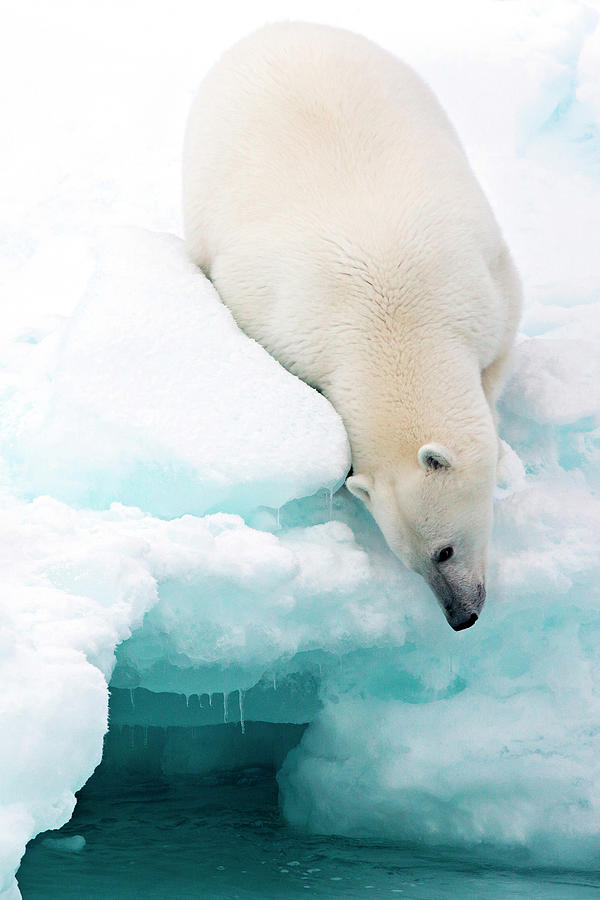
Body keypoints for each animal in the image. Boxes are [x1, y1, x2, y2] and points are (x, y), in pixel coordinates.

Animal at [183, 19, 520, 624]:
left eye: (444, 549)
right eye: (410, 561)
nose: (461, 617)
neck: (393, 320)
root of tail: (279, 27)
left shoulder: (479, 280)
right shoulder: (286, 327)